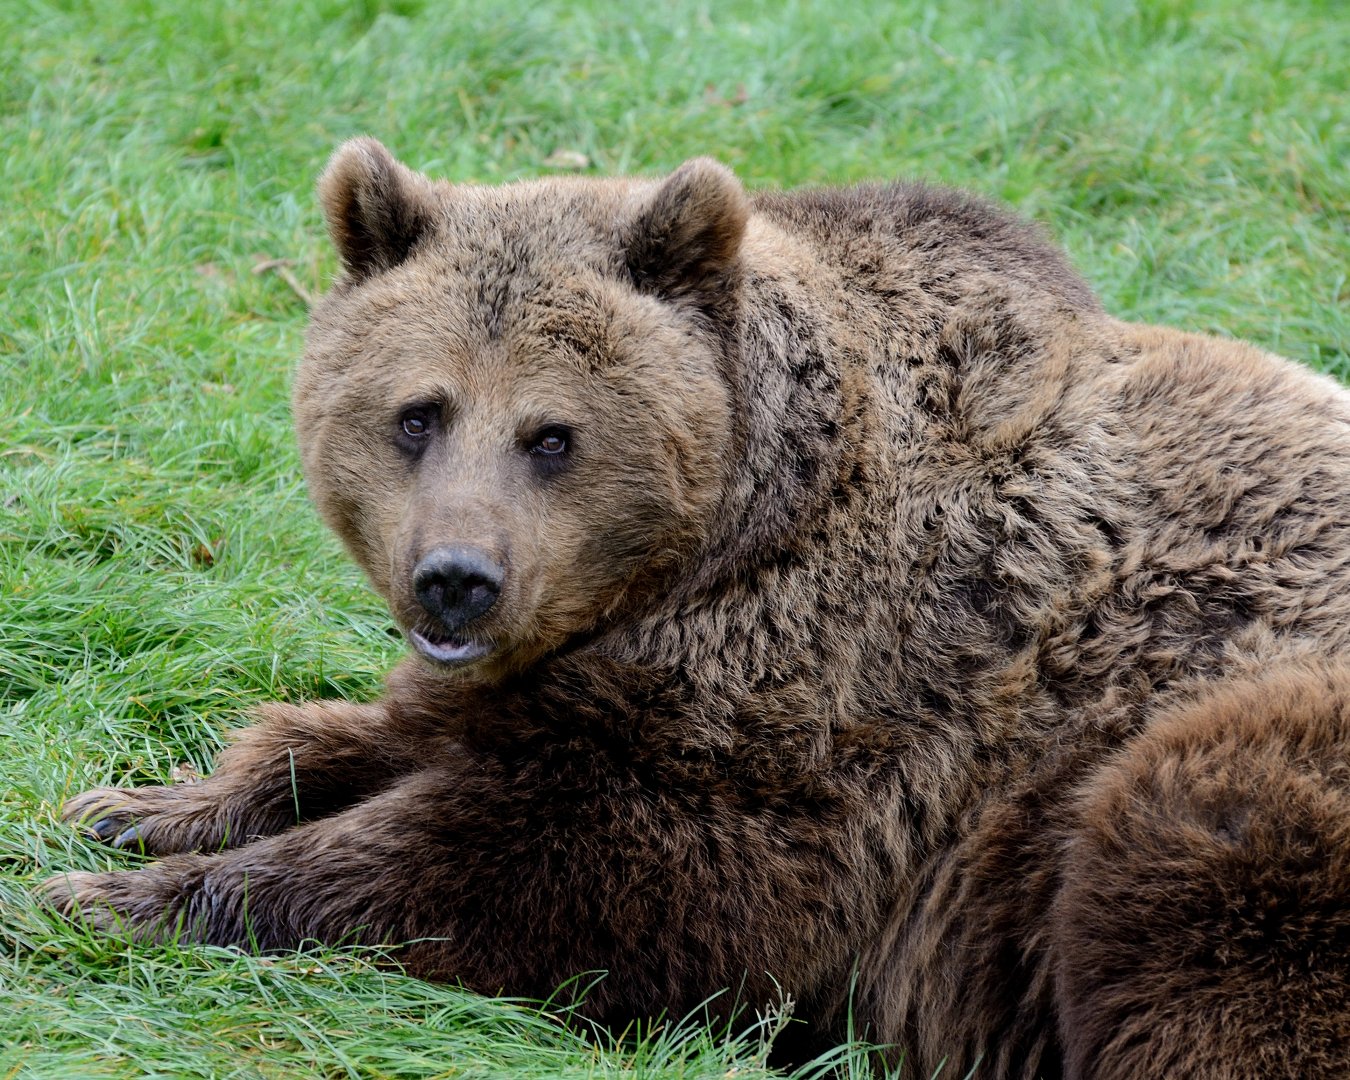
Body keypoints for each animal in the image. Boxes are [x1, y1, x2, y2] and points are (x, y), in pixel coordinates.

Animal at [43, 138, 1350, 1078]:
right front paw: (135, 810)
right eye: (418, 413)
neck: (719, 544)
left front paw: (117, 901)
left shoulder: (824, 720)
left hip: (1205, 765)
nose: (456, 578)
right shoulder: (566, 670)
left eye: (551, 434)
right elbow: (366, 736)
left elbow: (558, 867)